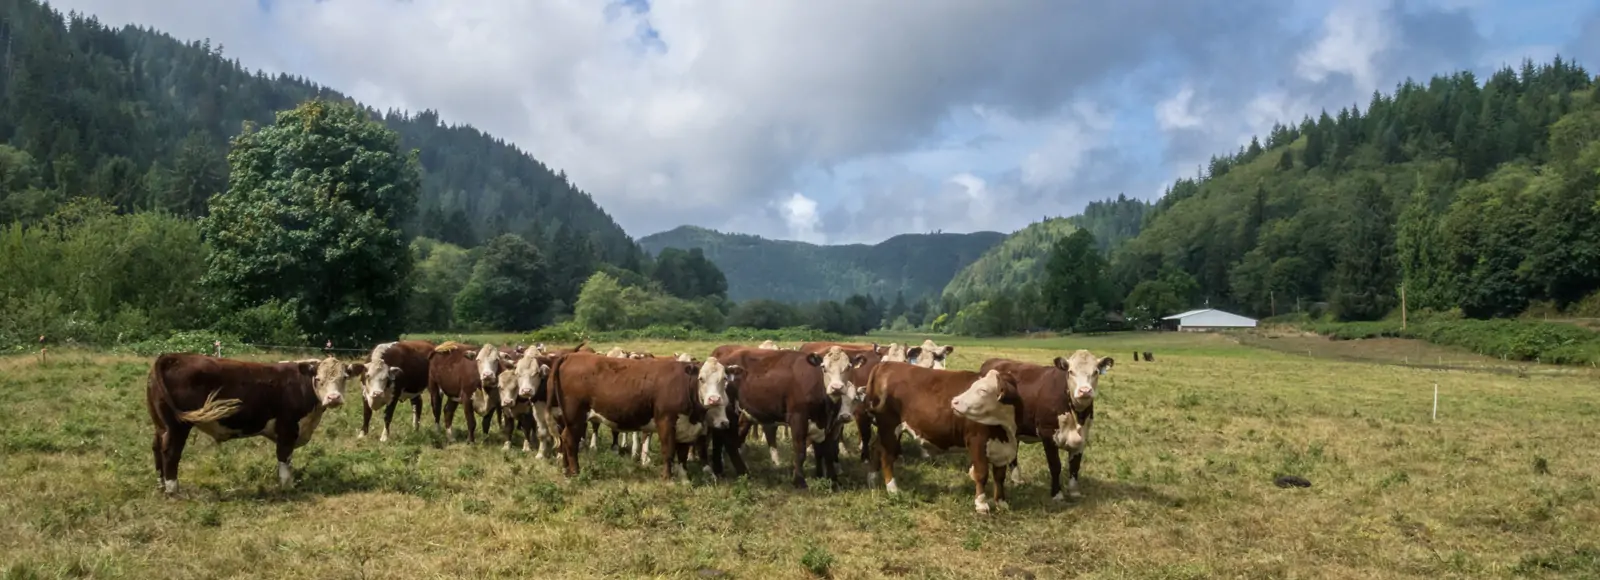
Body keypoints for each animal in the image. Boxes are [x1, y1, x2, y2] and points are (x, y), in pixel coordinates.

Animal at [148, 354, 356, 493]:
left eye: (344, 378)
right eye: (318, 379)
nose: (333, 398)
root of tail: (172, 357)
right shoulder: (287, 427)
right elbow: (284, 458)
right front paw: (287, 486)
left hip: (161, 425)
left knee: (157, 447)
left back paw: (161, 485)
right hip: (178, 426)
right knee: (171, 452)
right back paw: (173, 489)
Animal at [540, 354, 732, 480]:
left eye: (724, 379)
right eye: (701, 378)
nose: (714, 399)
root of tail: (570, 356)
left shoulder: (685, 427)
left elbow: (683, 454)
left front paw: (684, 477)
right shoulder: (666, 421)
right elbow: (669, 451)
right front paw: (667, 478)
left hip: (568, 418)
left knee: (565, 438)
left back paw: (566, 469)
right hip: (576, 417)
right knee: (571, 440)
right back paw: (575, 471)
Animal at [870, 365, 1017, 512]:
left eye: (983, 390)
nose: (955, 402)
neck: (1006, 432)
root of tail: (886, 365)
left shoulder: (1002, 450)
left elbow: (999, 476)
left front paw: (1001, 502)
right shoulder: (977, 442)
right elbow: (981, 473)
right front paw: (981, 504)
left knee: (876, 447)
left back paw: (873, 479)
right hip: (889, 427)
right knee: (886, 457)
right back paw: (893, 489)